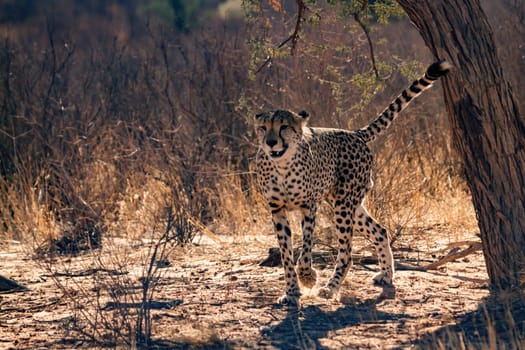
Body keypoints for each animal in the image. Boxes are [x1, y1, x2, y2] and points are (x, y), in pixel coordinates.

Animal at [254, 60, 450, 306]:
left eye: (284, 127)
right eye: (263, 127)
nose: (270, 142)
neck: (282, 166)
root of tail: (355, 133)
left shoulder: (309, 206)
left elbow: (306, 247)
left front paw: (308, 277)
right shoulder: (277, 210)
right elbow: (285, 255)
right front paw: (291, 291)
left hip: (343, 205)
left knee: (347, 252)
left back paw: (331, 287)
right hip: (348, 204)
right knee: (380, 230)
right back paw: (386, 275)